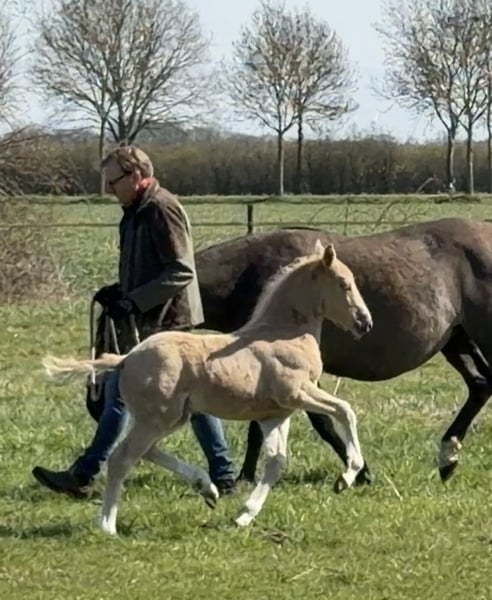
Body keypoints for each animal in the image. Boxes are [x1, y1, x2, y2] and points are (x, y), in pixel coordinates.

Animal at [42, 242, 373, 535]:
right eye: (344, 284)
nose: (365, 323)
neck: (283, 333)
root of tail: (126, 358)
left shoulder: (276, 414)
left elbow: (276, 462)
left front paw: (244, 516)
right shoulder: (297, 392)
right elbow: (345, 410)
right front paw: (347, 476)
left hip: (171, 418)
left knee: (145, 451)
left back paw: (208, 488)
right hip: (157, 419)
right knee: (122, 458)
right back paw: (108, 525)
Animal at [195, 217, 492, 485]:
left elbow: (321, 422)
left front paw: (360, 472)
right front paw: (245, 476)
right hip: (456, 340)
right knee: (481, 384)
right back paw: (448, 459)